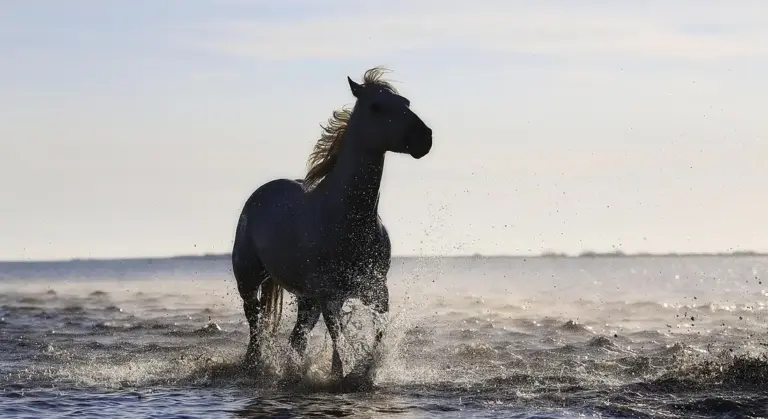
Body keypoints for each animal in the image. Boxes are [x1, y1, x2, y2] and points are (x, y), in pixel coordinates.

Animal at [231, 67, 433, 382]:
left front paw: (364, 370)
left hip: (306, 299)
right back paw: (255, 366)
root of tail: (260, 193)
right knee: (256, 327)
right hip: (249, 280)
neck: (349, 219)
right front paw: (343, 373)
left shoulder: (376, 291)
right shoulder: (330, 296)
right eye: (376, 106)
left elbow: (376, 333)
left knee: (297, 337)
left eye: (406, 103)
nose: (424, 137)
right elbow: (339, 338)